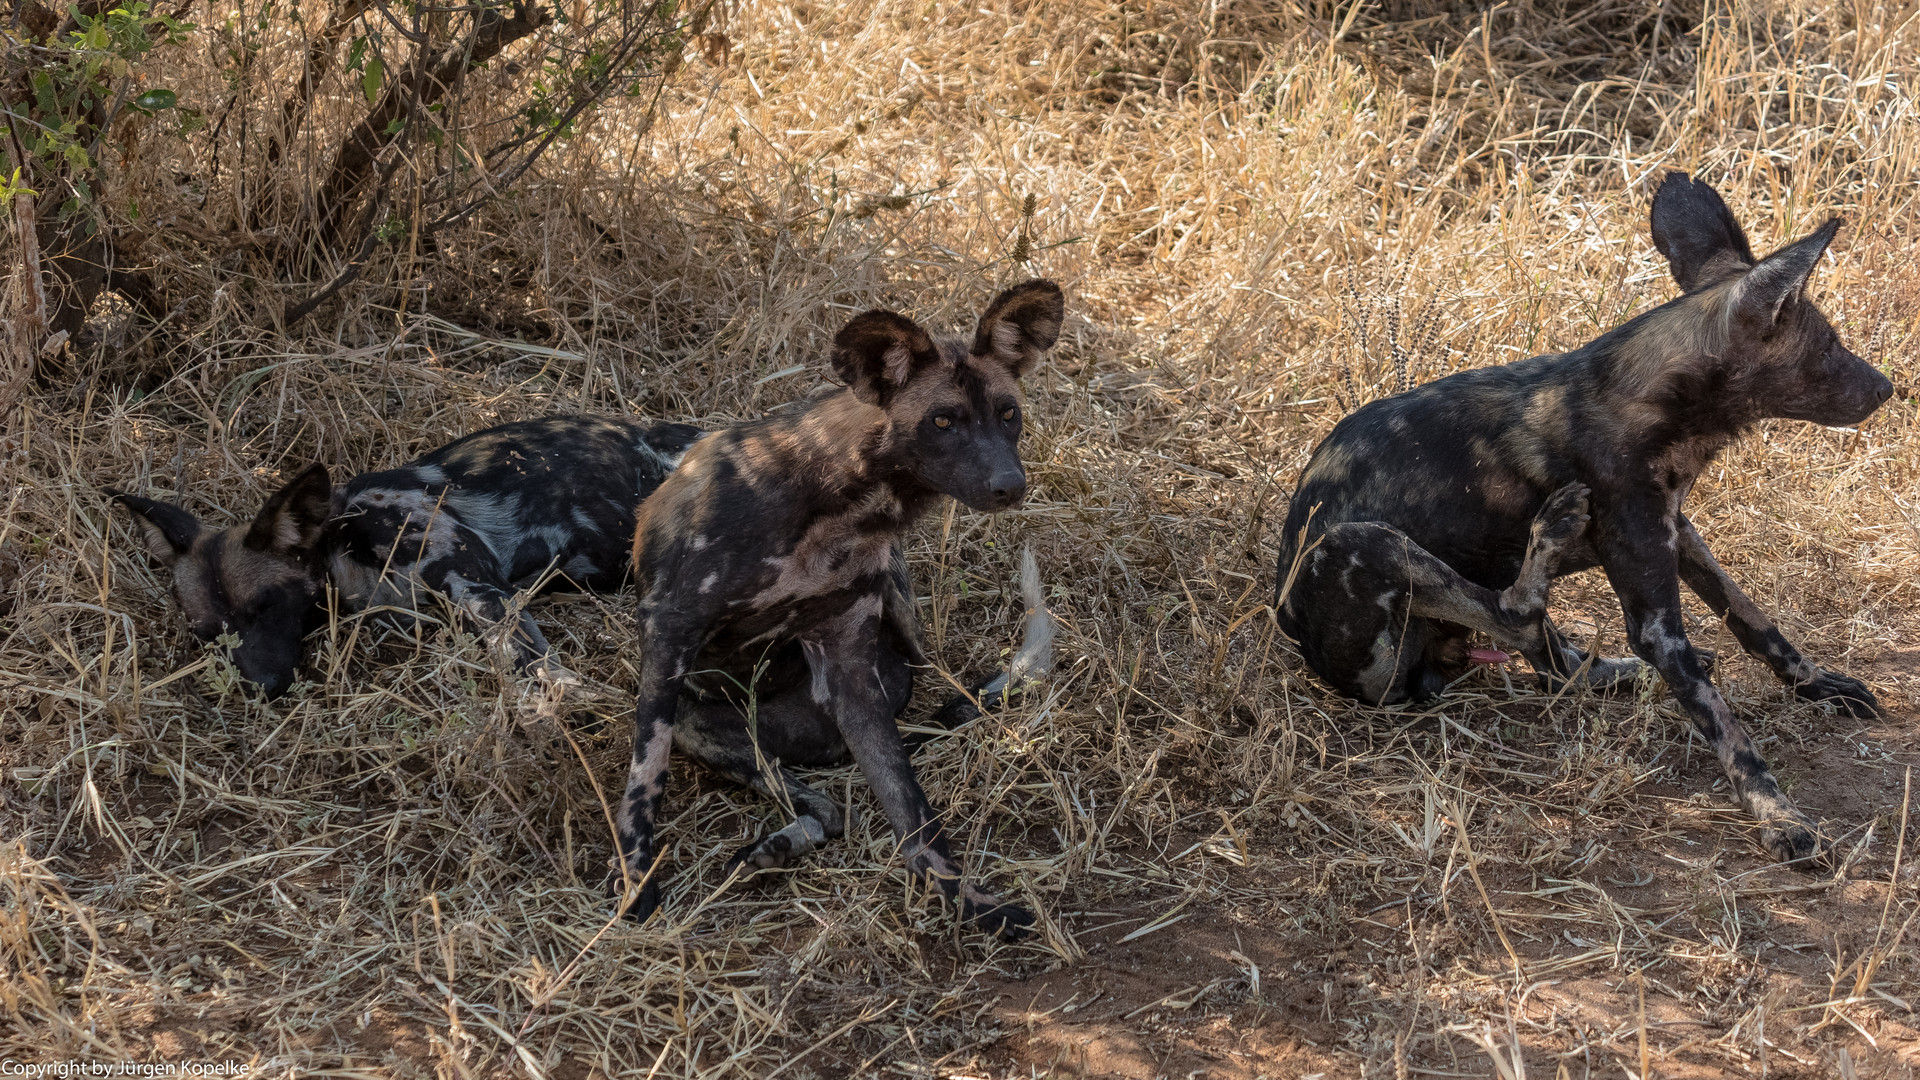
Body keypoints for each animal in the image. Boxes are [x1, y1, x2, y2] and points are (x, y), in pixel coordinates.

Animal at [107, 411, 706, 699]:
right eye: (208, 636)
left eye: (266, 607)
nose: (260, 690)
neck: (344, 545)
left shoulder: (483, 593)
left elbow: (529, 668)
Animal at [614, 276, 1067, 933]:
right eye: (943, 421)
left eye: (1009, 414)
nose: (1011, 485)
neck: (844, 506)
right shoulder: (670, 630)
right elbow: (644, 778)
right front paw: (636, 883)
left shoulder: (853, 673)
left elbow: (915, 817)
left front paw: (968, 904)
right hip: (699, 723)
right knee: (818, 803)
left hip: (892, 635)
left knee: (844, 799)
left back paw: (780, 843)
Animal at [1274, 174, 1889, 864]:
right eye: (1830, 347)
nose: (1887, 387)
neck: (1657, 407)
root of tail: (1299, 640)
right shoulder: (1657, 624)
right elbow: (1728, 731)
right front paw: (1777, 815)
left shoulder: (1678, 535)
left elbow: (1755, 622)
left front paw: (1819, 687)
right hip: (1364, 542)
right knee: (1515, 615)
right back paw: (1555, 536)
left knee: (1550, 661)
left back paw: (1612, 669)